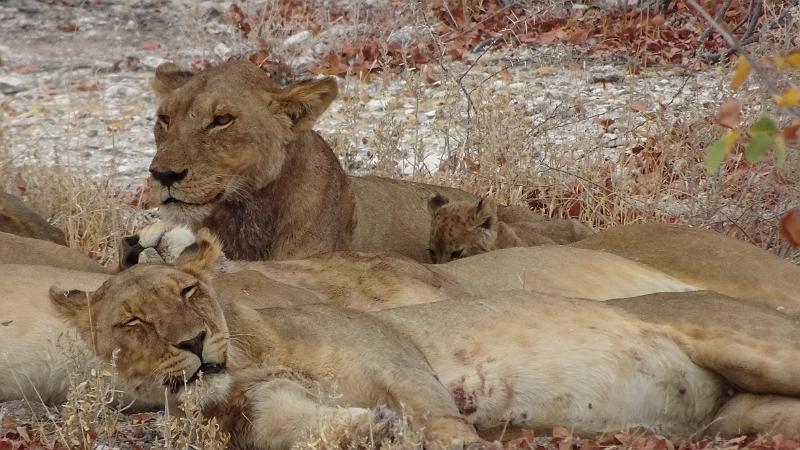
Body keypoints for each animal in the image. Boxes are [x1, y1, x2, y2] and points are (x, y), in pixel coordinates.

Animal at [45, 234, 800, 448]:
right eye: (133, 322)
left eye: (186, 293)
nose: (198, 342)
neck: (253, 361)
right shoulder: (268, 416)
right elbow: (315, 429)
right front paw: (372, 430)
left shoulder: (400, 360)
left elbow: (440, 421)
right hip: (747, 413)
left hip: (753, 346)